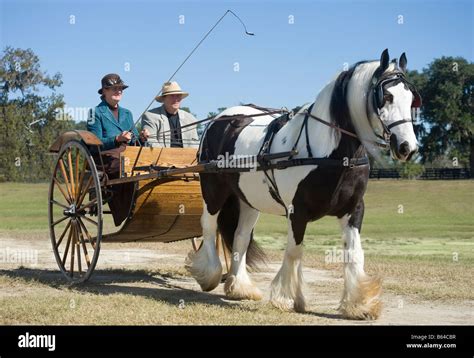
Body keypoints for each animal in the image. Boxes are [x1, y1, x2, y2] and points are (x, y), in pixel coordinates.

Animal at [187, 48, 420, 318]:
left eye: (411, 99)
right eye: (387, 96)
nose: (408, 147)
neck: (331, 153)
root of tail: (221, 119)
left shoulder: (353, 210)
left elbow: (353, 253)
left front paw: (358, 303)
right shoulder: (297, 211)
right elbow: (294, 251)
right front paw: (288, 298)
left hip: (248, 200)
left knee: (240, 237)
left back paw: (240, 287)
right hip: (213, 190)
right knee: (208, 225)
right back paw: (209, 275)